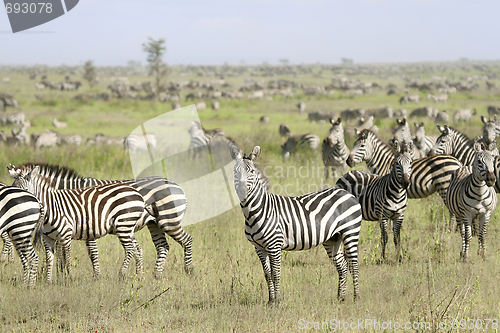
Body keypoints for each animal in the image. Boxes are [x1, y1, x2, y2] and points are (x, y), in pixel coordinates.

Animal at [9, 163, 193, 278]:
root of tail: (177, 185)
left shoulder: (88, 224)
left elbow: (92, 253)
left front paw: (95, 276)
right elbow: (61, 253)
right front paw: (61, 274)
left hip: (169, 219)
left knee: (187, 240)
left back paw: (189, 270)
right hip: (154, 224)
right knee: (163, 247)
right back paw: (156, 275)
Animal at [230, 145, 364, 304]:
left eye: (251, 171)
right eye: (235, 172)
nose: (242, 190)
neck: (254, 212)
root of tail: (346, 192)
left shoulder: (274, 245)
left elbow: (275, 274)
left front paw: (277, 302)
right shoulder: (259, 247)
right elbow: (267, 274)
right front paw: (270, 301)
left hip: (350, 231)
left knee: (354, 265)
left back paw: (356, 297)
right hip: (332, 238)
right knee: (342, 265)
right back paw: (340, 298)